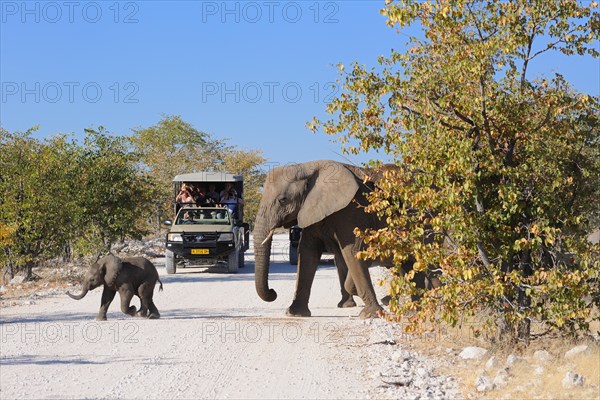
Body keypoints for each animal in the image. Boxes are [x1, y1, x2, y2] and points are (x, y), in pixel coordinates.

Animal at [252, 159, 384, 318]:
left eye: (283, 200)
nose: (273, 292)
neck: (307, 167)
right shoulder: (311, 208)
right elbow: (307, 252)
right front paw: (295, 314)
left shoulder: (352, 209)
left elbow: (353, 251)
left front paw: (371, 314)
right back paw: (346, 305)